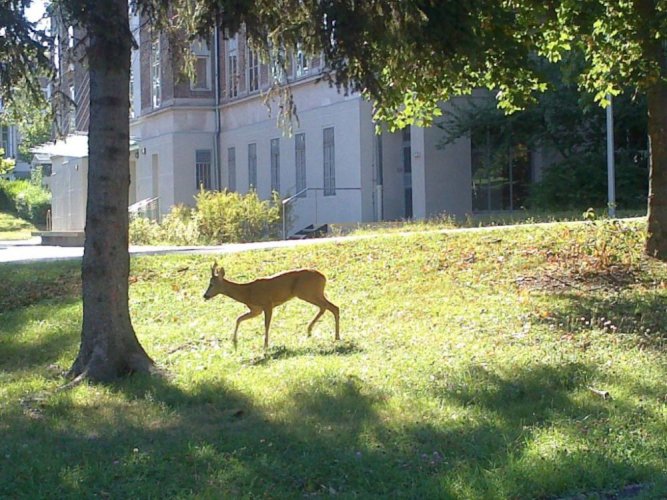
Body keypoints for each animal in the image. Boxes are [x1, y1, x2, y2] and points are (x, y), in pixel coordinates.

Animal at [202, 264, 340, 350]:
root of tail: (324, 277)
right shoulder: (256, 310)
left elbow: (266, 325)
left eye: (212, 284)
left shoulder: (268, 304)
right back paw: (314, 331)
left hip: (307, 292)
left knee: (331, 307)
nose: (205, 295)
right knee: (330, 307)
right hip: (313, 293)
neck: (247, 292)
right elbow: (239, 318)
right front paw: (234, 341)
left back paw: (333, 335)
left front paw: (265, 345)